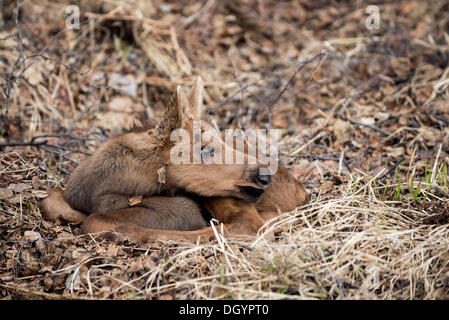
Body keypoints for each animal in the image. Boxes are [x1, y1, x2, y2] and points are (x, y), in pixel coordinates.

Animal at [41, 77, 308, 242]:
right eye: (204, 149)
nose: (264, 174)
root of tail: (301, 192)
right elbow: (50, 200)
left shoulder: (183, 209)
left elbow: (93, 221)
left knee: (246, 227)